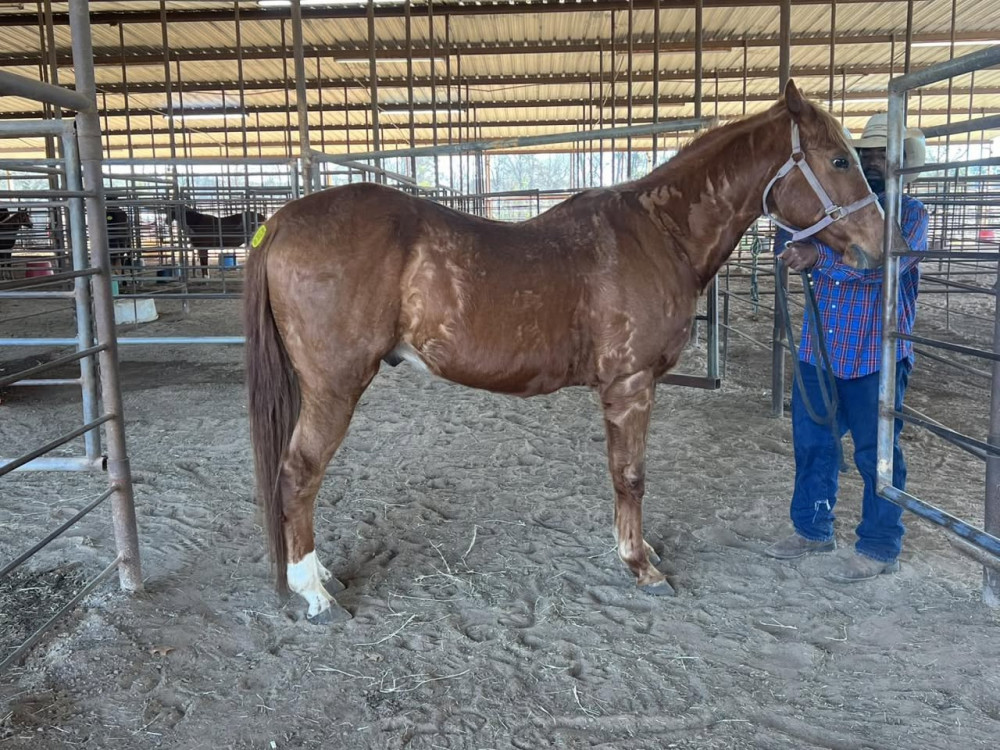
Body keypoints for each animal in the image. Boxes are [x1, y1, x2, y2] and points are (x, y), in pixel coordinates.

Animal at [244, 81, 891, 624]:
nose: (882, 245)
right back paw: (316, 593)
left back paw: (322, 573)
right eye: (839, 160)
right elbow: (630, 476)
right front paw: (640, 565)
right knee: (299, 473)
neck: (661, 233)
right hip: (335, 387)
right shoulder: (631, 386)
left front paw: (638, 549)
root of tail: (281, 221)